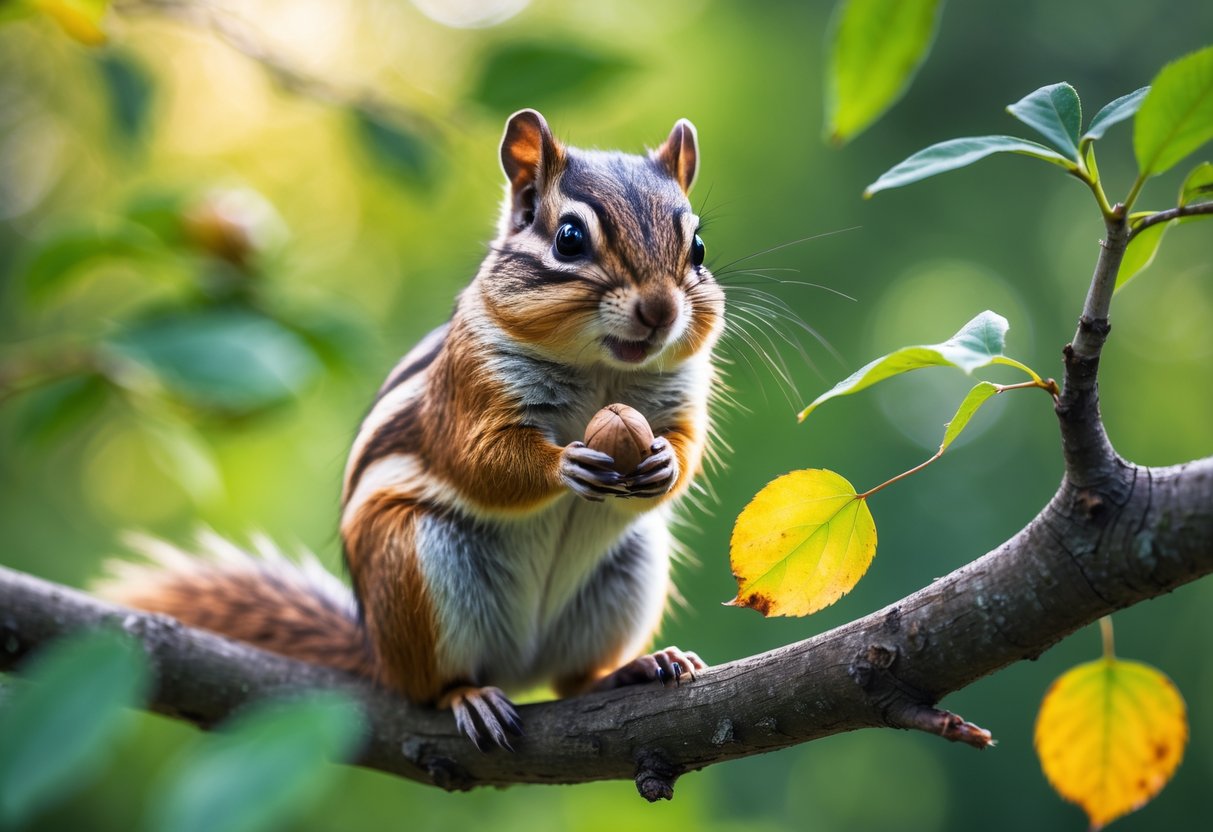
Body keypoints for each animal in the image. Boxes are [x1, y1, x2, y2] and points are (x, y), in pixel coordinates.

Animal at [104, 109, 726, 749]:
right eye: (569, 239)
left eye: (698, 246)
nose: (660, 310)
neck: (605, 370)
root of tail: (379, 653)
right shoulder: (469, 386)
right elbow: (479, 460)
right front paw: (564, 464)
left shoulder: (682, 392)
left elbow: (687, 445)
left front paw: (664, 463)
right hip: (415, 566)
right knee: (431, 687)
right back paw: (469, 695)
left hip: (629, 573)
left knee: (573, 680)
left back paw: (636, 668)